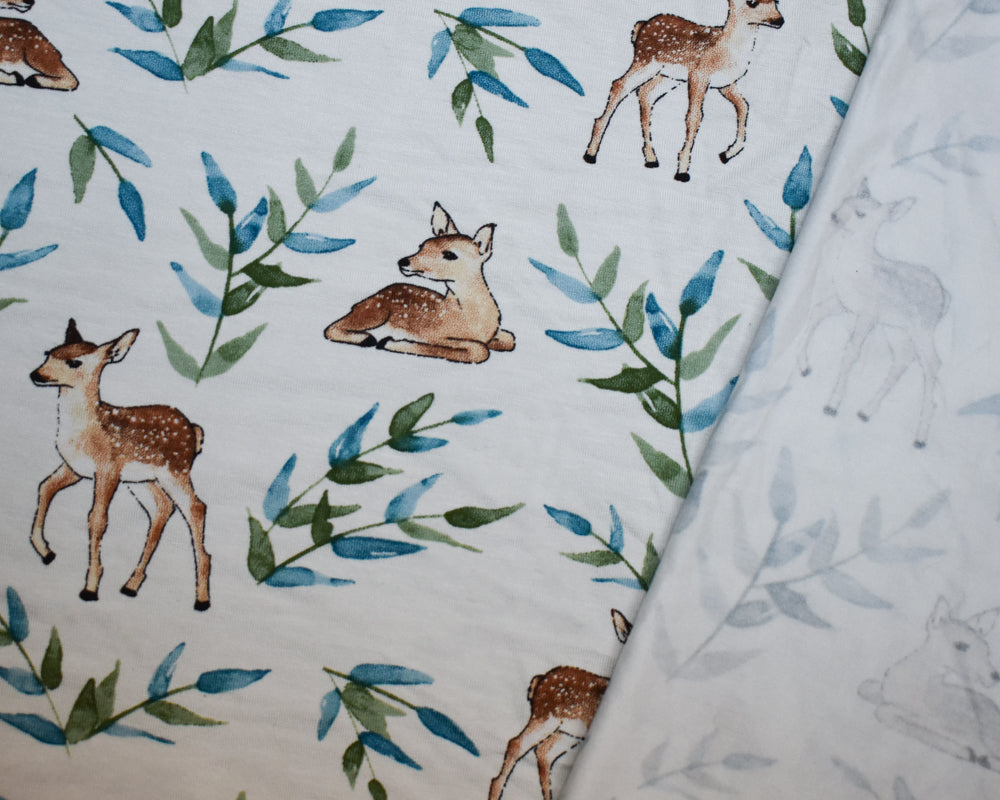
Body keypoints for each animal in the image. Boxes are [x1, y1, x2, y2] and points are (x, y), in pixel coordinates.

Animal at [29, 320, 211, 610]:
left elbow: (97, 519)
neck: (85, 431)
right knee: (163, 507)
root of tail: (194, 432)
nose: (36, 374)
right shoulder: (75, 468)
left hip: (175, 471)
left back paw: (201, 597)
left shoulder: (108, 468)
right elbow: (45, 487)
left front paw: (90, 587)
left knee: (195, 508)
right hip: (144, 480)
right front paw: (45, 550)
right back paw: (131, 584)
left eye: (74, 362)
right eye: (48, 353)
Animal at [324, 203, 515, 364]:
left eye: (450, 254)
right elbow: (479, 350)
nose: (403, 262)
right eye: (422, 245)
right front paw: (391, 342)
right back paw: (367, 338)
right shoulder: (434, 334)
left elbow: (509, 339)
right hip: (375, 312)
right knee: (332, 327)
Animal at [583, 0, 784, 182]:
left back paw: (651, 158)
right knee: (619, 85)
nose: (779, 20)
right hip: (646, 61)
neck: (726, 49)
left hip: (668, 76)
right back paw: (591, 153)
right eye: (752, 2)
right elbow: (694, 117)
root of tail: (641, 26)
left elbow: (743, 107)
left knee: (645, 93)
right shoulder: (699, 75)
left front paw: (727, 153)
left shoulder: (726, 83)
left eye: (777, 1)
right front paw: (683, 170)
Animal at [798, 179, 948, 448]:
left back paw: (920, 437)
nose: (833, 216)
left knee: (933, 363)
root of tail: (945, 296)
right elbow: (816, 312)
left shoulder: (868, 313)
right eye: (845, 200)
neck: (859, 268)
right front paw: (804, 366)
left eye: (861, 214)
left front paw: (831, 405)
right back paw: (865, 411)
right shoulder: (845, 303)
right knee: (903, 358)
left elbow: (851, 352)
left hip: (923, 327)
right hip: (897, 329)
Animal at [859, 597, 1000, 772]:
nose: (994, 676)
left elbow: (885, 711)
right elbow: (866, 688)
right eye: (961, 645)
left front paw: (962, 751)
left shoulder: (948, 722)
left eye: (987, 651)